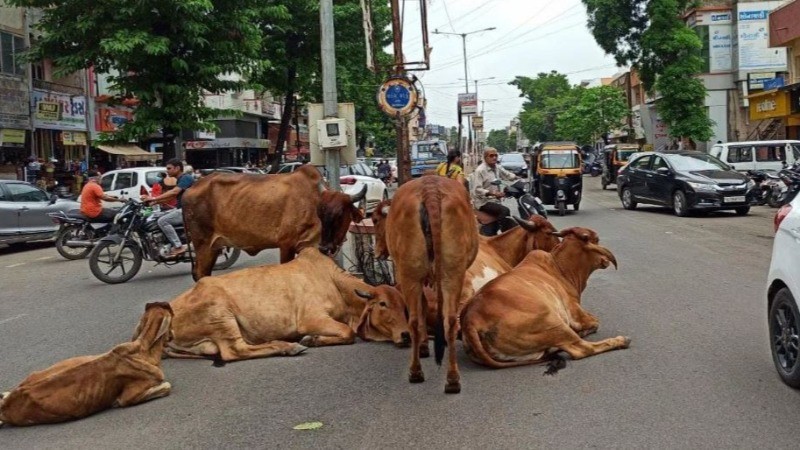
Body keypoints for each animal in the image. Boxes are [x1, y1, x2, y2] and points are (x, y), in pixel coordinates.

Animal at [165, 246, 410, 362]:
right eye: (382, 304)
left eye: (405, 306)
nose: (406, 335)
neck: (334, 282)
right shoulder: (311, 319)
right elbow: (347, 332)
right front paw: (310, 340)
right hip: (221, 316)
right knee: (235, 351)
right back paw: (290, 347)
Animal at [181, 163, 366, 280]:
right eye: (320, 212)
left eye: (341, 214)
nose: (325, 247)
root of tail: (189, 190)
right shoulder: (286, 244)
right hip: (203, 244)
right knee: (200, 274)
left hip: (214, 247)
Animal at [374, 174, 478, 392]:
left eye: (375, 220)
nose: (377, 252)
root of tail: (430, 190)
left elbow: (422, 307)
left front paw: (423, 346)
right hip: (452, 272)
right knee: (450, 320)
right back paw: (452, 379)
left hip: (409, 274)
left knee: (413, 320)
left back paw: (416, 372)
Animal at [462, 227, 632, 370]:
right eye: (596, 240)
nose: (605, 260)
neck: (560, 268)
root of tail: (471, 321)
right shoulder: (575, 312)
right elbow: (595, 322)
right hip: (553, 322)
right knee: (582, 348)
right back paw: (621, 340)